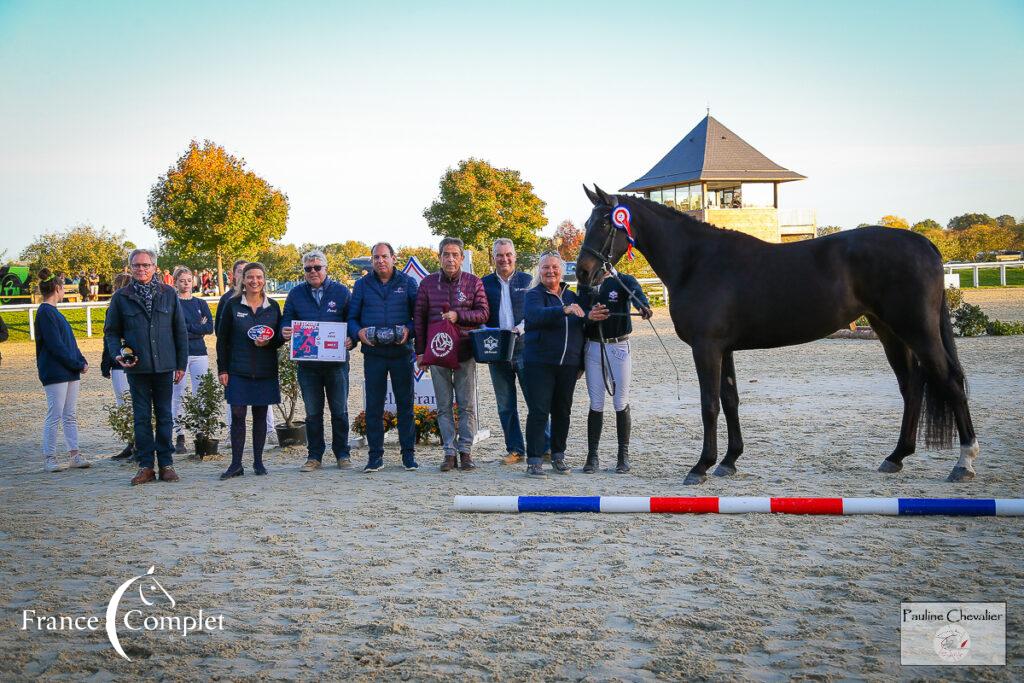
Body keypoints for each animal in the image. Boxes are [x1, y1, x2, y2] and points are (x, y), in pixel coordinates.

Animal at [577, 187, 974, 485]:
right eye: (586, 222)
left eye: (605, 223)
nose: (583, 272)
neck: (697, 261)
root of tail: (925, 245)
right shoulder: (724, 349)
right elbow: (731, 400)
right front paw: (729, 461)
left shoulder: (707, 348)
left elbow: (709, 405)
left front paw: (701, 466)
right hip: (889, 332)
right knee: (912, 387)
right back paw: (896, 457)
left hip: (916, 331)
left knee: (951, 381)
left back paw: (964, 462)